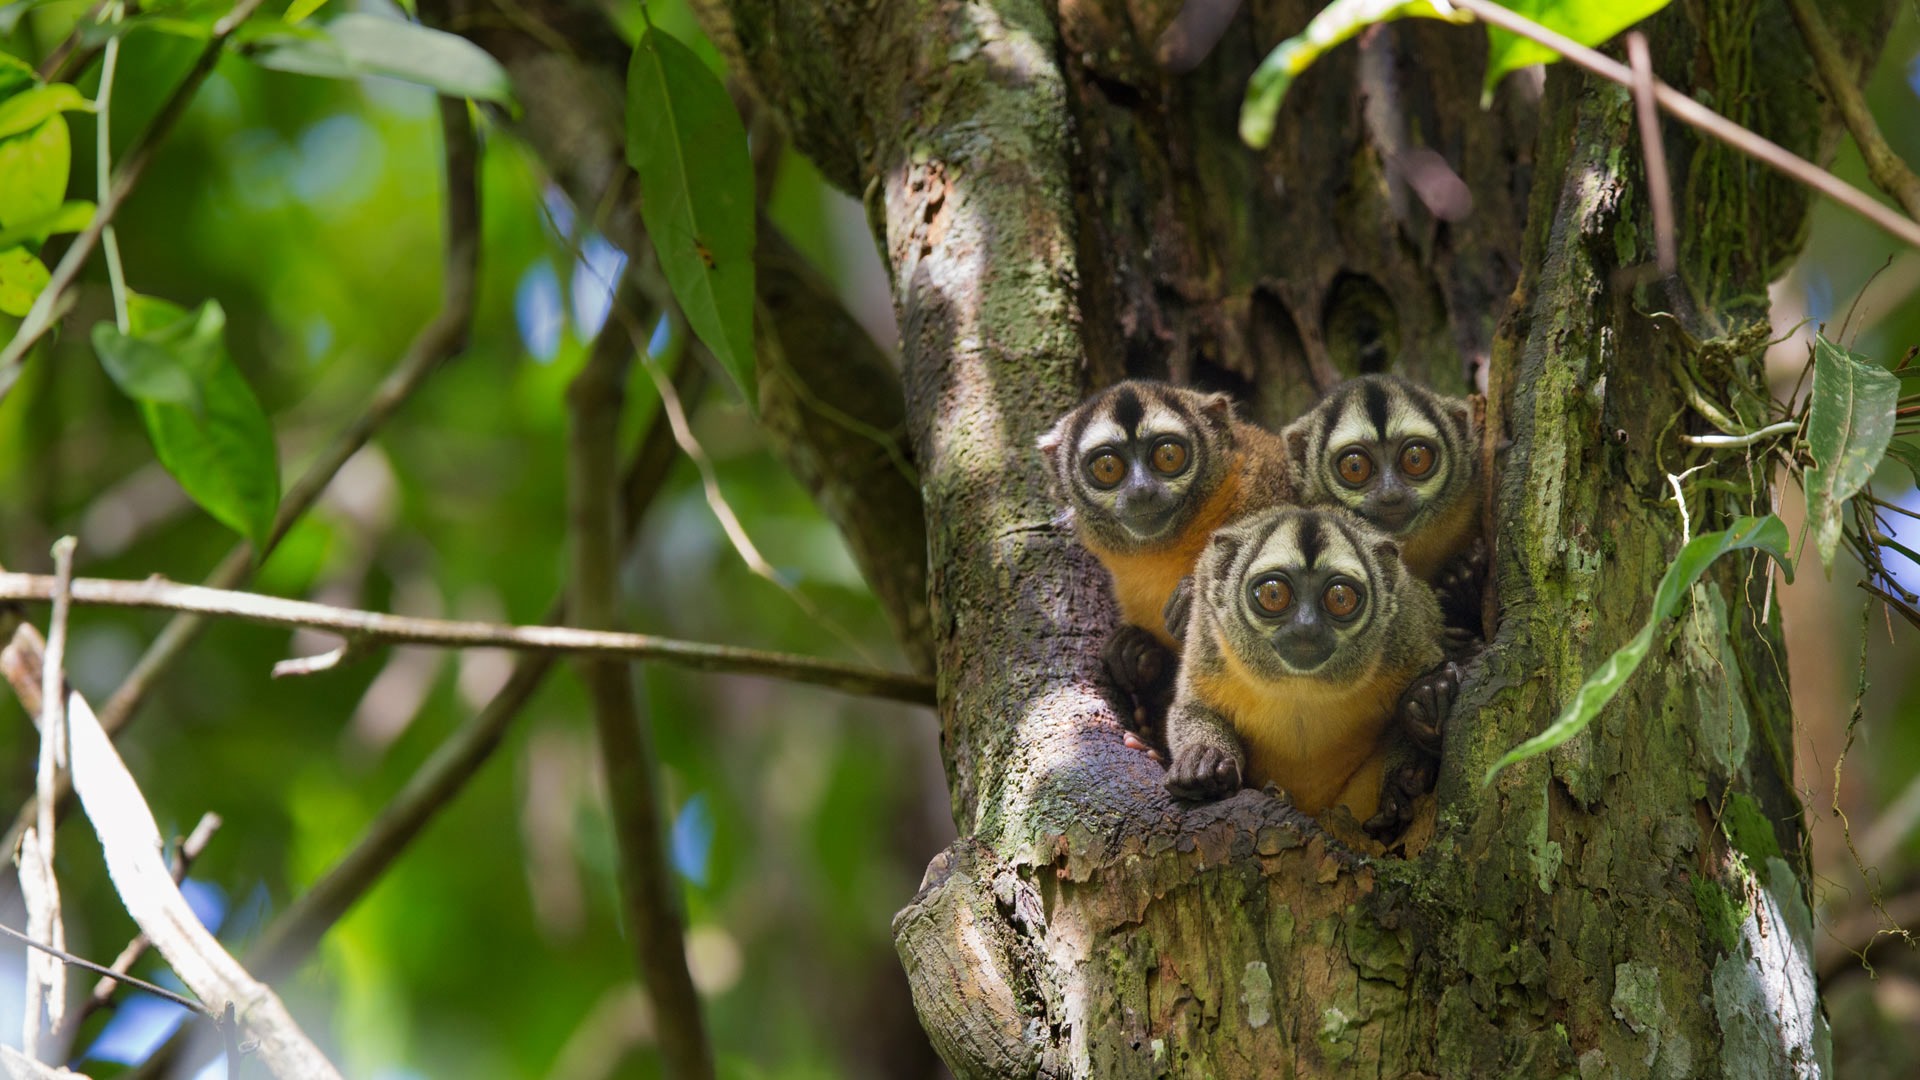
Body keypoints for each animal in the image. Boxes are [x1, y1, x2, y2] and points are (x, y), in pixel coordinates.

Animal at [1044, 372, 1474, 834]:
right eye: (1108, 467)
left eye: (1167, 455)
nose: (1142, 492)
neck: (1175, 537)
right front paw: (1133, 654)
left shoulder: (1265, 480)